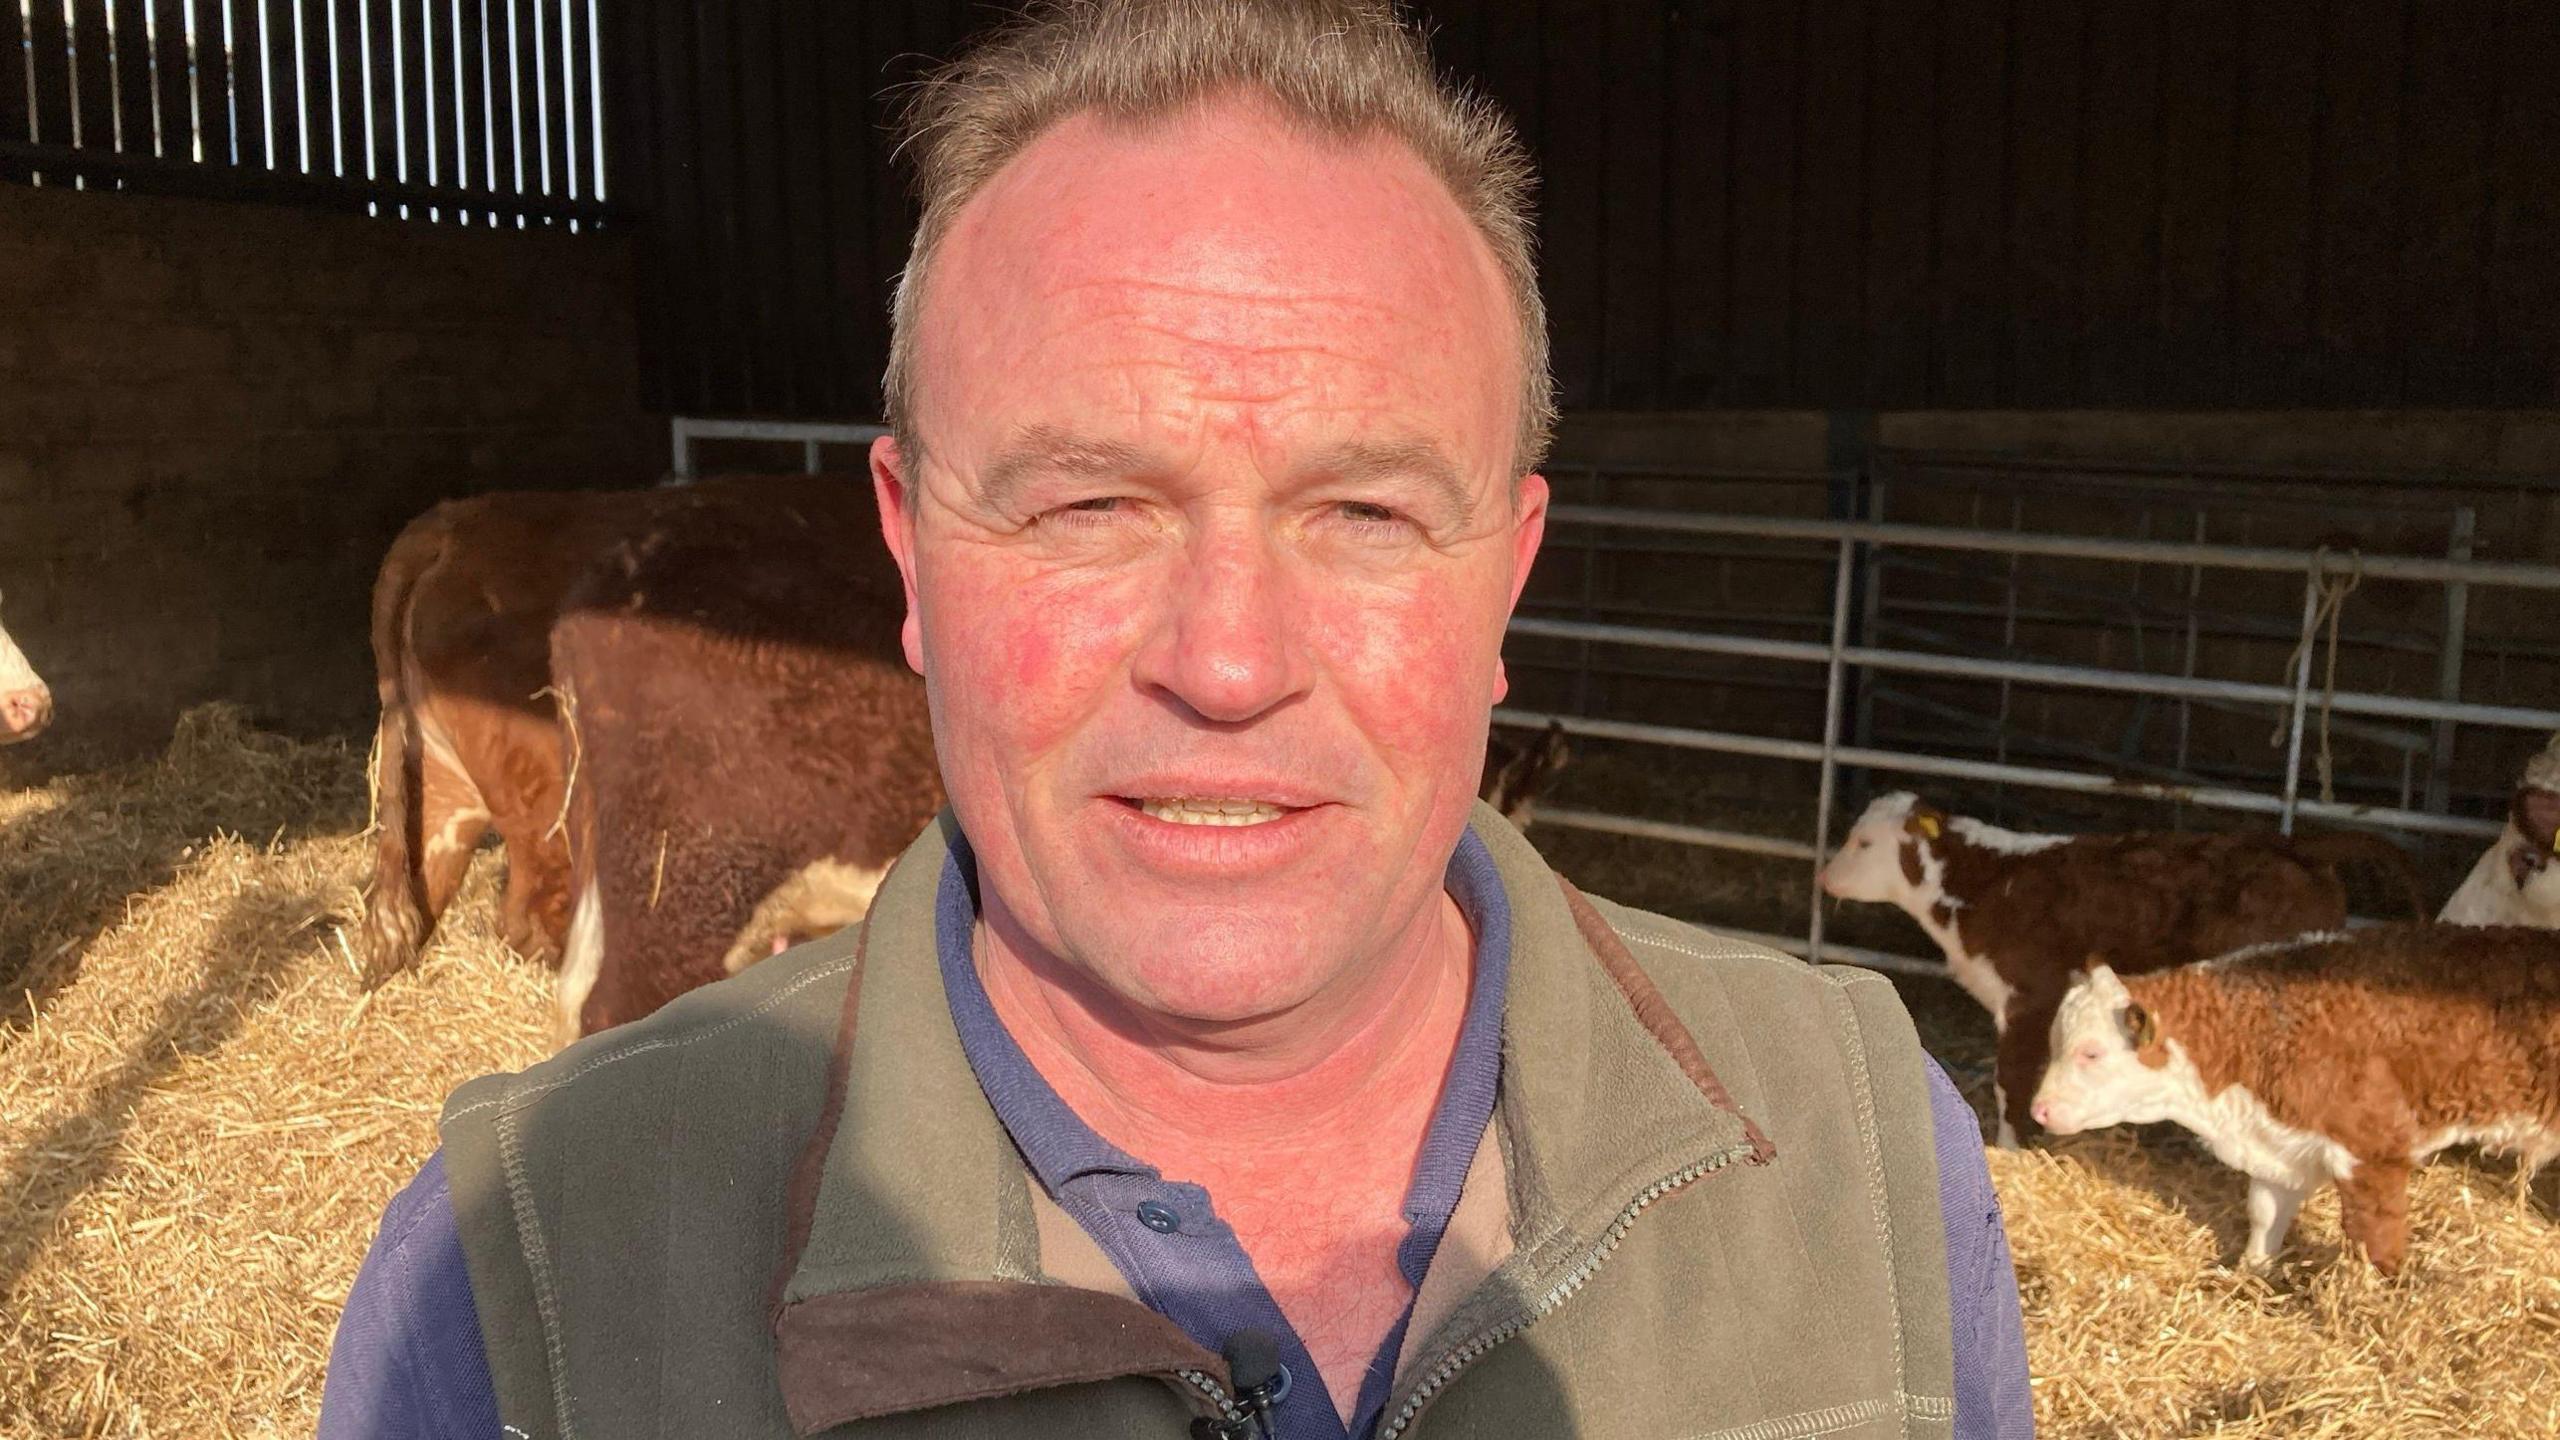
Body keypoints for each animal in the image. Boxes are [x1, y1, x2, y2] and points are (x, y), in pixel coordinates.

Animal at [1812, 784, 2426, 1142]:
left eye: (1863, 842)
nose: (1823, 876)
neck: (1984, 886)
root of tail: (2296, 845)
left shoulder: (2030, 997)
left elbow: (2012, 1082)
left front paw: (2012, 1148)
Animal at [2037, 917, 2560, 1265]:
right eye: (2055, 1042)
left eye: (2091, 1053)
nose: (2038, 1110)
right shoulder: (2279, 1149)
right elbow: (2264, 1215)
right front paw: (2252, 1274)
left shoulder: (2373, 1149)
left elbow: (2375, 1235)